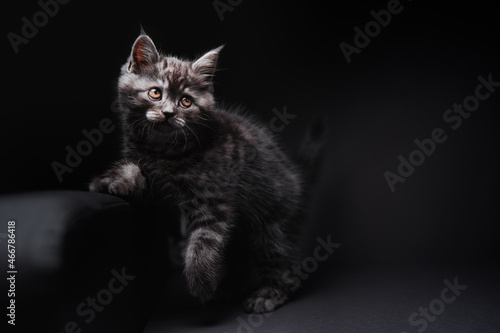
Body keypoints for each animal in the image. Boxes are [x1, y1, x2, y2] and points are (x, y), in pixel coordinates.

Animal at [90, 32, 324, 312]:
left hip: (272, 224)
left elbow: (204, 239)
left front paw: (201, 284)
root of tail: (297, 176)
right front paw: (111, 181)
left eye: (186, 101)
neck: (163, 151)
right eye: (155, 93)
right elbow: (135, 169)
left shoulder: (214, 199)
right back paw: (229, 289)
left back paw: (268, 294)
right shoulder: (150, 179)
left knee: (282, 263)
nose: (168, 113)